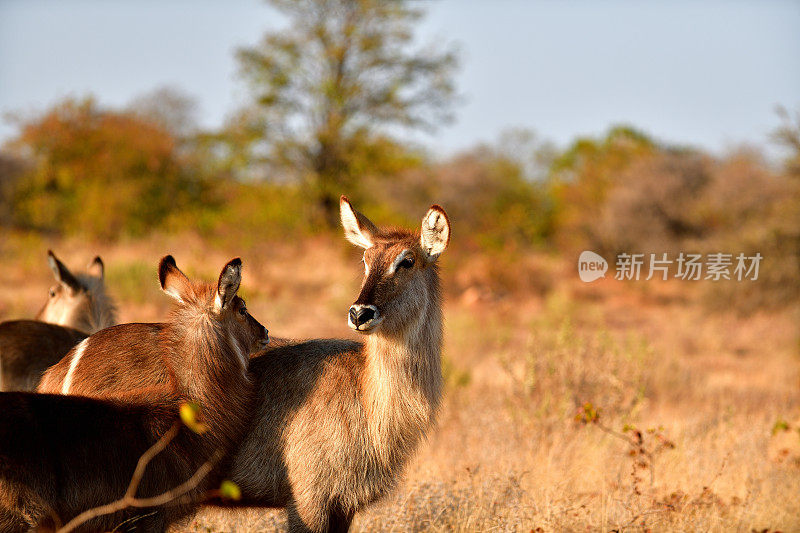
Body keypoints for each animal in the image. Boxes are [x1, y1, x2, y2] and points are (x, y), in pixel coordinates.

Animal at [225, 197, 450, 532]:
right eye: (365, 260)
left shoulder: (345, 506)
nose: (359, 313)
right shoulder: (309, 500)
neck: (366, 395)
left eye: (407, 261)